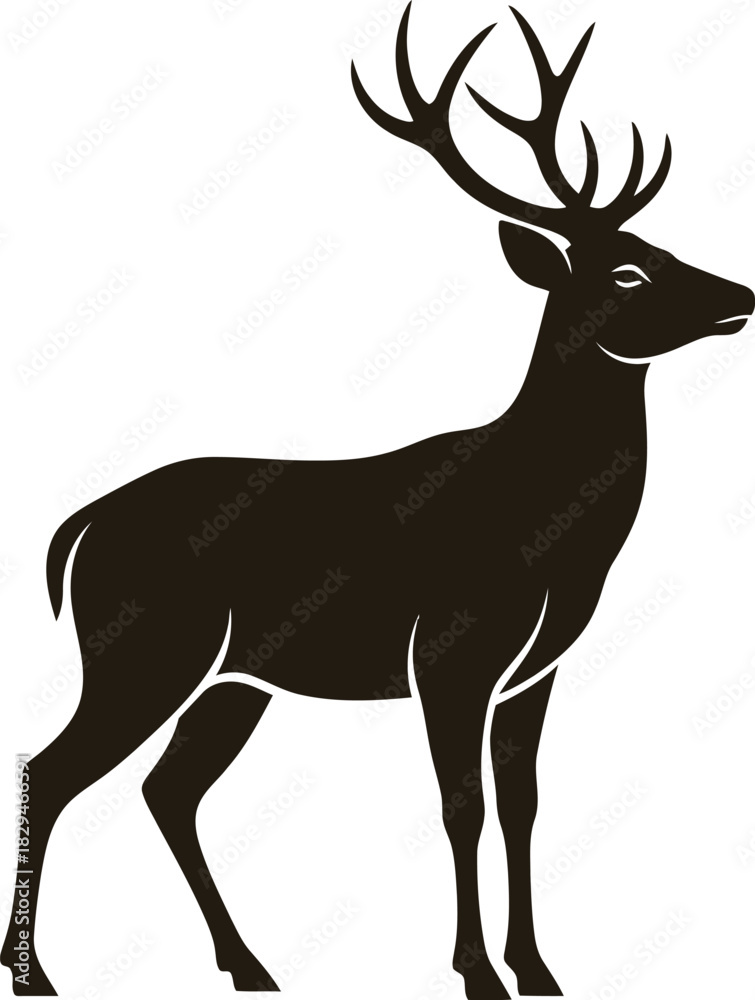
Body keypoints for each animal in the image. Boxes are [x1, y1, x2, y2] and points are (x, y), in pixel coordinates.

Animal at [3, 3, 753, 998]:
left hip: (231, 678)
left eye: (663, 249)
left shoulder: (536, 669)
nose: (742, 294)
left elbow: (523, 803)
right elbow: (460, 806)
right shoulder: (447, 650)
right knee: (52, 770)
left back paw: (250, 966)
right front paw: (477, 973)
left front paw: (538, 968)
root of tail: (77, 528)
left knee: (167, 789)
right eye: (625, 271)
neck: (551, 532)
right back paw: (37, 973)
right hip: (145, 648)